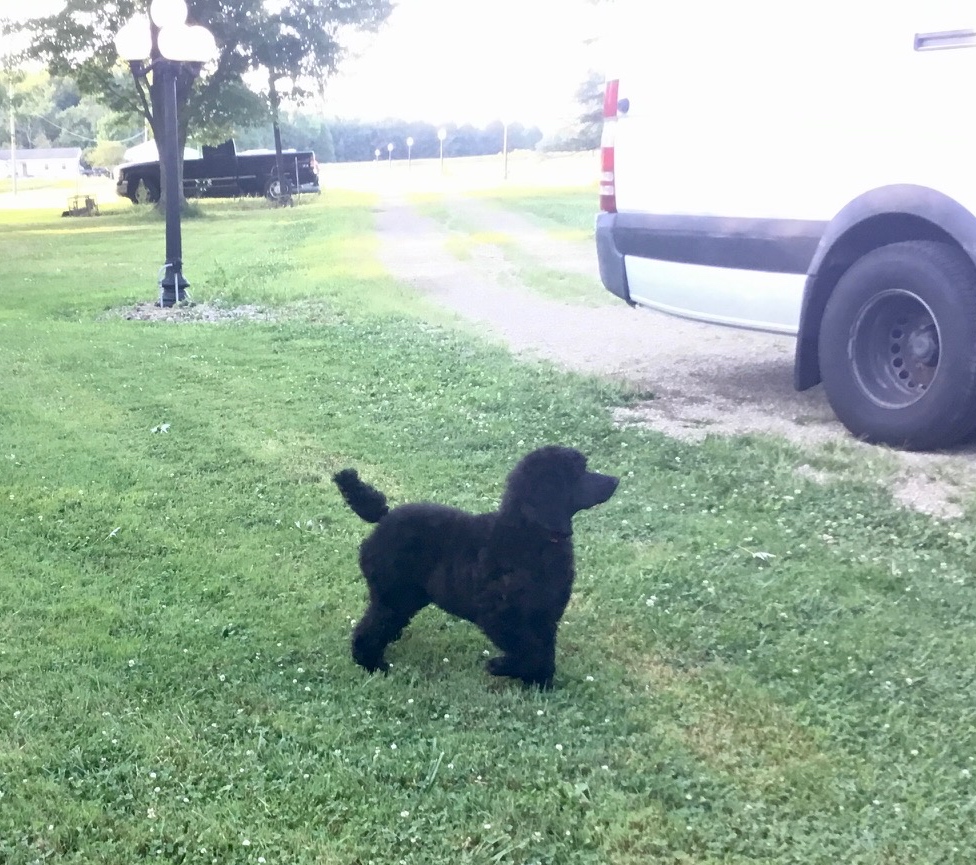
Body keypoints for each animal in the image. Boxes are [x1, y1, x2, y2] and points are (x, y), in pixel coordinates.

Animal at [333, 446, 619, 688]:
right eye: (578, 474)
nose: (615, 480)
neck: (529, 536)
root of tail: (384, 518)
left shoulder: (544, 616)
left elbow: (544, 652)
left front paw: (539, 684)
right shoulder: (501, 617)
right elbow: (531, 651)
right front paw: (502, 666)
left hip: (407, 596)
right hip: (393, 595)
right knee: (372, 627)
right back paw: (370, 664)